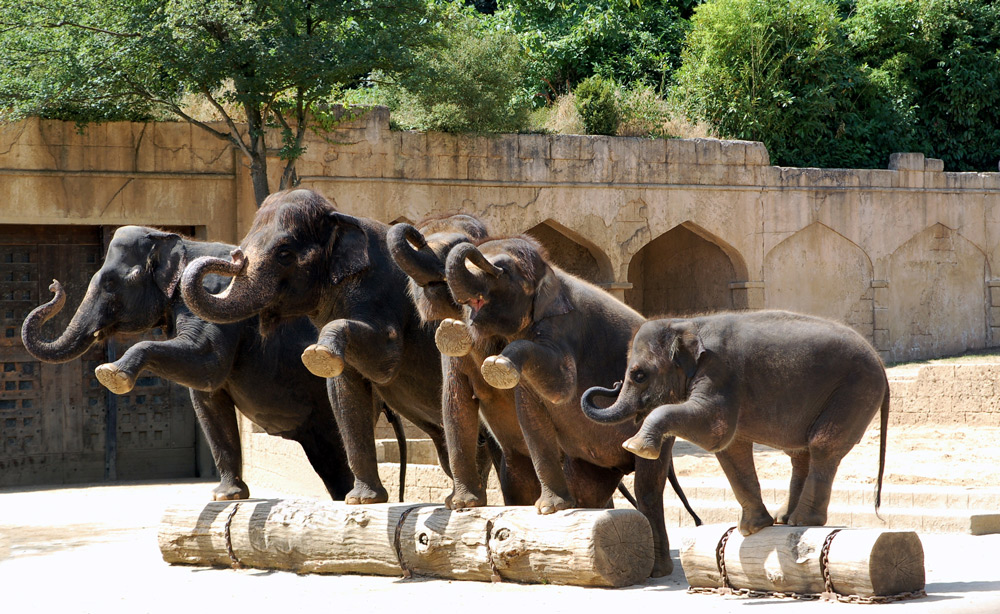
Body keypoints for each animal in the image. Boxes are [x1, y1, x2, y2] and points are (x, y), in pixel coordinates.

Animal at [22, 229, 382, 502]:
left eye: (111, 283)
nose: (54, 286)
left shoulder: (212, 293)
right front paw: (226, 496)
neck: (178, 241)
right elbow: (206, 395)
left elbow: (207, 363)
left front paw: (111, 374)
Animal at [434, 235, 700, 576]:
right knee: (588, 487)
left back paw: (658, 570)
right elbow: (467, 403)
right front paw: (465, 505)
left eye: (503, 270)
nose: (471, 249)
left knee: (648, 487)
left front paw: (497, 364)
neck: (550, 274)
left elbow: (562, 386)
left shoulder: (563, 329)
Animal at [580, 312, 892, 540]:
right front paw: (751, 529)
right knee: (800, 453)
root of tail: (880, 360)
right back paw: (784, 519)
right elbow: (729, 448)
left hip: (854, 392)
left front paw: (635, 447)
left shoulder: (720, 374)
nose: (612, 384)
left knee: (822, 446)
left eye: (639, 375)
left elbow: (715, 429)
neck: (686, 323)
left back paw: (802, 521)